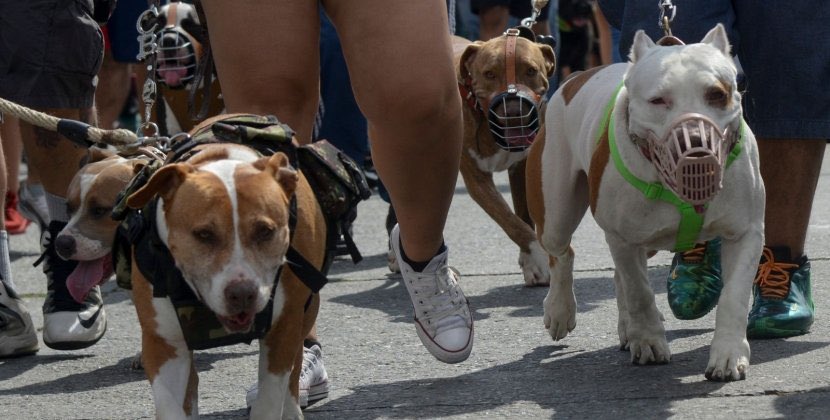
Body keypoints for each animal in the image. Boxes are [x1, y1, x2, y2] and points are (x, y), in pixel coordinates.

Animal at [125, 114, 326, 416]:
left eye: (265, 231)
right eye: (203, 234)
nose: (242, 293)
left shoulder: (283, 329)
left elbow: (270, 400)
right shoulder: (164, 345)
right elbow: (171, 404)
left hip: (306, 311)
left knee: (295, 367)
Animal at [448, 29, 552, 286]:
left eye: (531, 70)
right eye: (489, 74)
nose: (513, 111)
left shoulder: (522, 166)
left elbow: (523, 215)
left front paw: (529, 262)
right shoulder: (477, 180)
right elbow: (509, 220)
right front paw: (539, 258)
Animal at [528, 24, 768, 382]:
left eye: (717, 94)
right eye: (658, 100)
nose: (696, 143)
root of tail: (577, 78)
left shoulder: (745, 233)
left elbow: (734, 296)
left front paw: (728, 354)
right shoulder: (622, 236)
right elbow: (640, 292)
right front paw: (650, 342)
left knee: (618, 275)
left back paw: (625, 328)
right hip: (555, 212)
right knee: (563, 253)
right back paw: (560, 310)